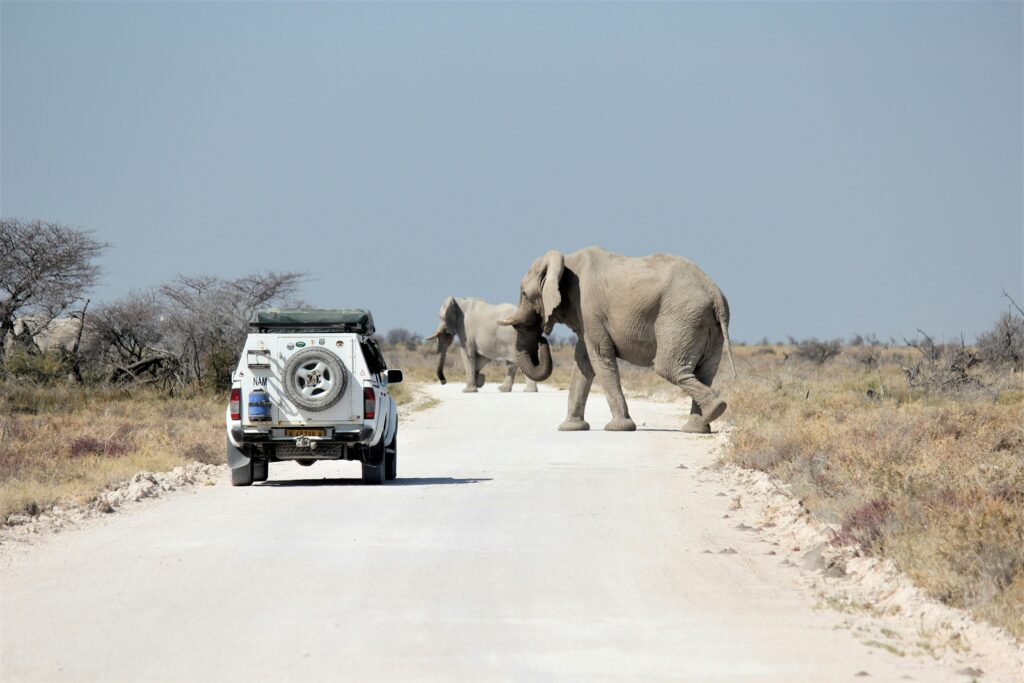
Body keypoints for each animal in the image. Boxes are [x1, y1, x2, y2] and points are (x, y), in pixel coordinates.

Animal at [497, 248, 733, 436]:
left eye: (524, 294)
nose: (543, 339)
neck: (566, 261)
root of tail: (715, 295)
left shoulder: (589, 309)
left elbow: (599, 358)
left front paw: (618, 428)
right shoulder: (586, 317)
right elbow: (583, 362)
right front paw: (570, 428)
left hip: (682, 318)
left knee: (669, 368)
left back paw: (715, 409)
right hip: (706, 326)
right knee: (704, 372)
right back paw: (698, 426)